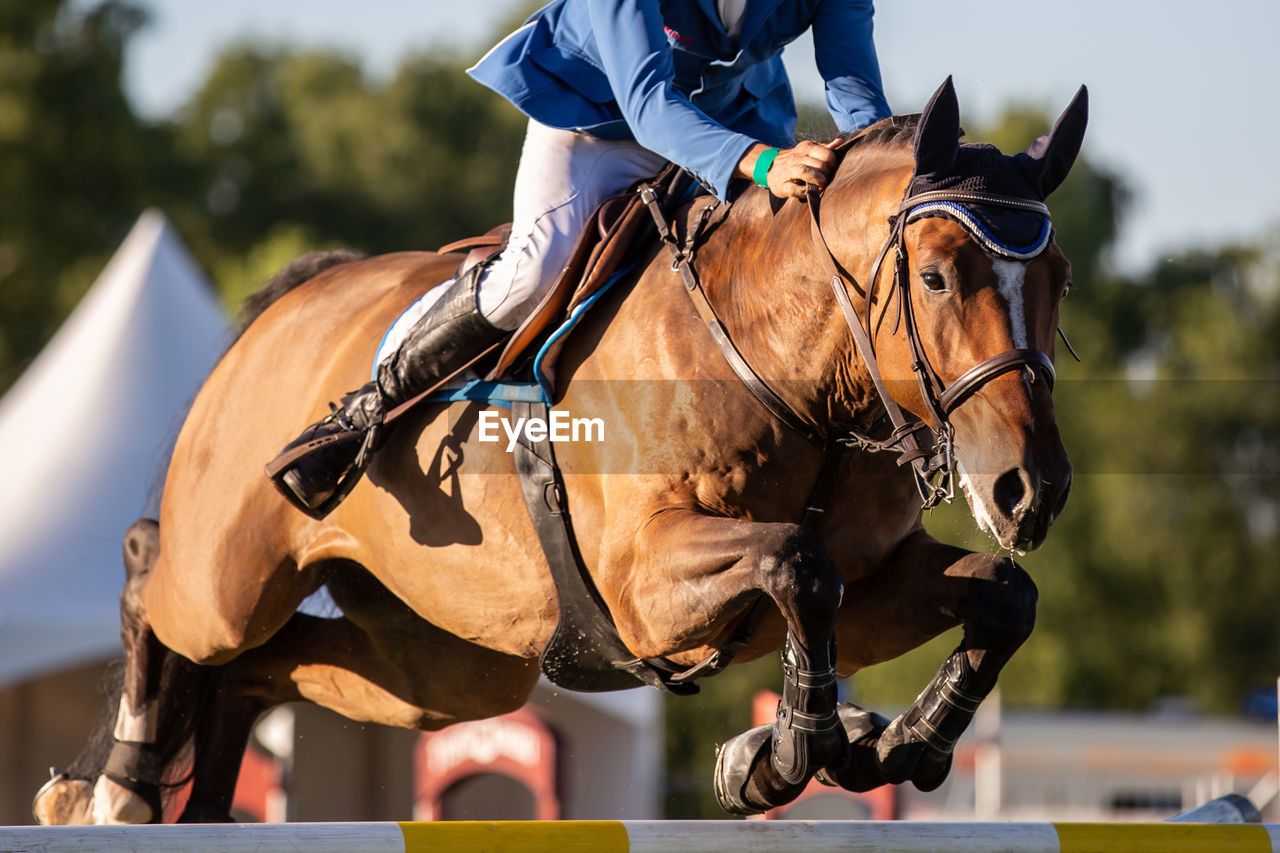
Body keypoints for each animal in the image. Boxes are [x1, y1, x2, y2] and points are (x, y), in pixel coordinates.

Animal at [35, 76, 1085, 819]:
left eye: (1061, 278)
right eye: (939, 276)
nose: (1029, 490)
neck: (791, 371)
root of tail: (286, 303)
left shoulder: (867, 589)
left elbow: (1001, 594)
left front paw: (895, 743)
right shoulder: (645, 584)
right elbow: (799, 563)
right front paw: (781, 757)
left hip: (444, 669)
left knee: (261, 667)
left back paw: (195, 802)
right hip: (232, 580)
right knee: (158, 584)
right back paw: (114, 792)